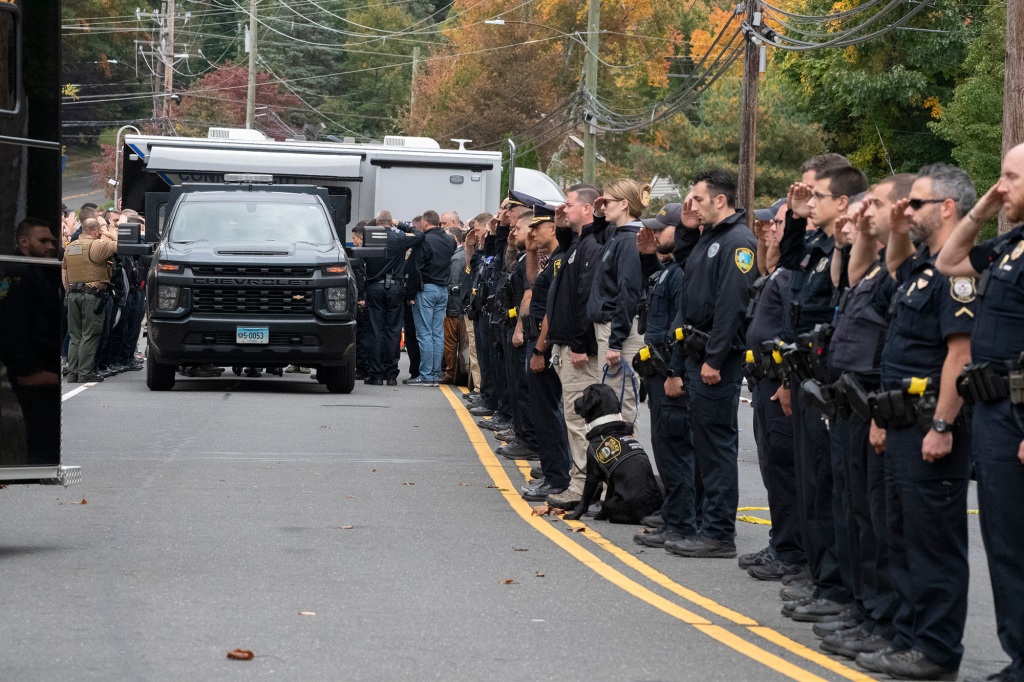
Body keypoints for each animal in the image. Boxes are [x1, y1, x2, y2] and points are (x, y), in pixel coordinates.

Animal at [569, 382, 663, 520]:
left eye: (583, 394)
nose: (574, 401)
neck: (606, 421)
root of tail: (651, 510)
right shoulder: (610, 480)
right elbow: (607, 493)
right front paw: (599, 515)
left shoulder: (592, 473)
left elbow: (584, 498)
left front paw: (574, 515)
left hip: (612, 503)